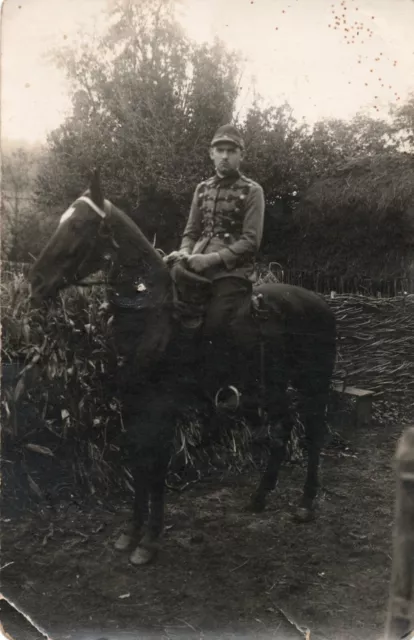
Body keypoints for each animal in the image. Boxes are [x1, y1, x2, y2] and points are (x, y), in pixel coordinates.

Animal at [29, 169, 338, 564]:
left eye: (80, 225)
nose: (35, 283)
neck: (152, 313)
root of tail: (320, 302)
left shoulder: (162, 406)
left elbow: (156, 464)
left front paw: (148, 540)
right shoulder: (134, 402)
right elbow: (138, 460)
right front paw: (131, 533)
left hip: (312, 384)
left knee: (314, 433)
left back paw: (306, 503)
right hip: (272, 387)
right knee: (283, 430)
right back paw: (259, 497)